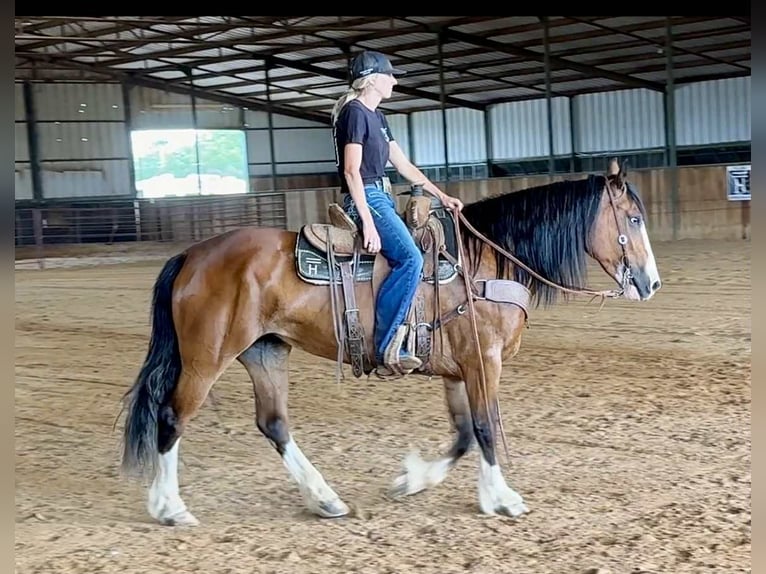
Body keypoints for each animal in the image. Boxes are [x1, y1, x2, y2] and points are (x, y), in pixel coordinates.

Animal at [118, 158, 661, 526]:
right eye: (633, 220)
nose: (652, 284)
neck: (483, 262)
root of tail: (192, 254)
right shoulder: (484, 361)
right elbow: (486, 427)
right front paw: (503, 498)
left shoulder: (457, 369)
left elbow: (464, 434)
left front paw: (412, 481)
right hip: (206, 357)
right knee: (171, 417)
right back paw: (169, 507)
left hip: (265, 350)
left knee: (273, 424)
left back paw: (325, 498)